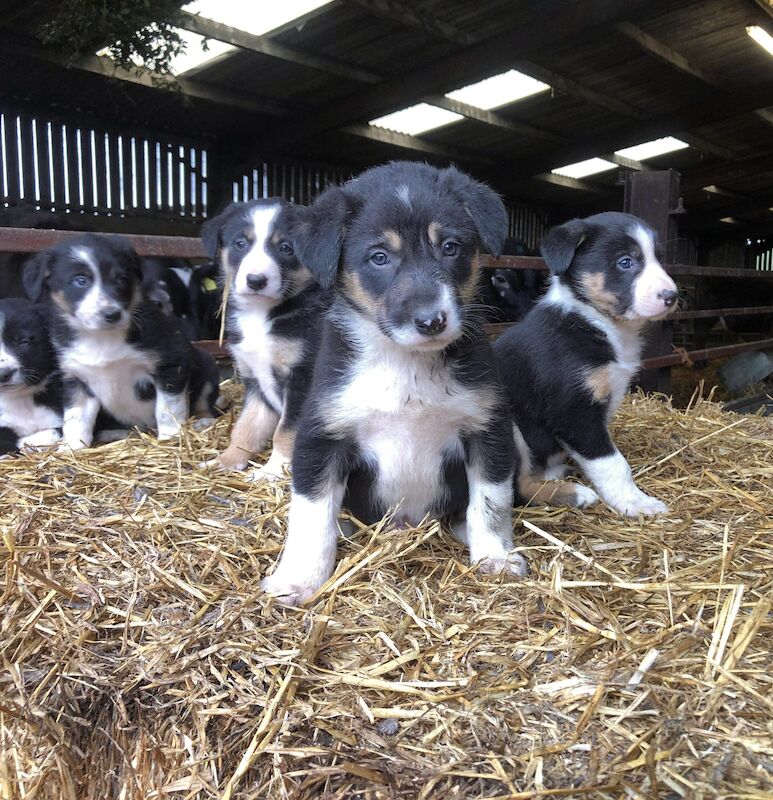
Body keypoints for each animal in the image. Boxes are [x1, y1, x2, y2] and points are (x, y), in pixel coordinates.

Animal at [25, 233, 219, 450]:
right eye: (80, 280)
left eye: (122, 280)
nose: (112, 314)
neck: (101, 338)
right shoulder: (76, 378)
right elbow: (76, 419)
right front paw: (71, 447)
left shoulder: (171, 364)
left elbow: (168, 409)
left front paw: (171, 437)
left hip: (207, 365)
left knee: (203, 403)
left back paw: (204, 421)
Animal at [199, 198, 326, 482]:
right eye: (240, 243)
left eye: (286, 247)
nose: (256, 281)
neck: (261, 314)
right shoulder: (255, 381)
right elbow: (246, 426)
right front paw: (227, 460)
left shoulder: (302, 379)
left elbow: (286, 430)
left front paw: (274, 469)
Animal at [260, 161, 524, 608]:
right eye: (379, 257)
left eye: (450, 247)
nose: (431, 321)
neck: (406, 364)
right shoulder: (321, 435)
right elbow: (311, 515)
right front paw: (299, 579)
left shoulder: (488, 429)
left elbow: (490, 503)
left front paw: (495, 556)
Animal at [494, 209, 676, 516]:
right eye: (625, 262)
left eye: (659, 259)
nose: (671, 296)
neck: (593, 319)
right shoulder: (574, 409)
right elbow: (612, 462)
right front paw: (636, 502)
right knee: (516, 491)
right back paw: (574, 494)